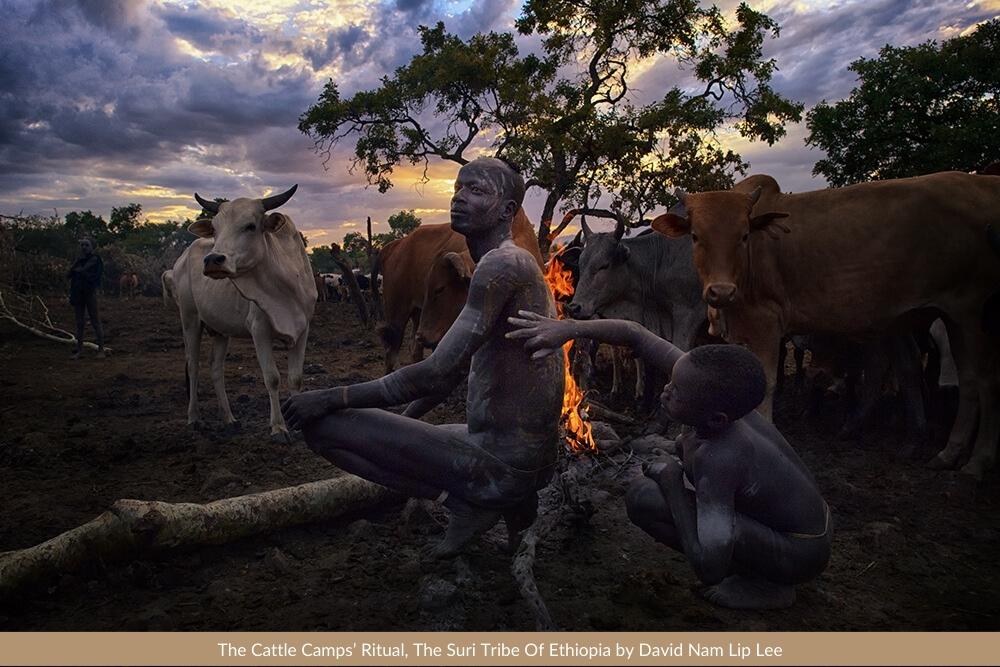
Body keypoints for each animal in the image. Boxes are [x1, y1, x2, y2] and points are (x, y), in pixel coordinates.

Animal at [165, 185, 316, 440]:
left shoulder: (302, 329)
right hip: (190, 319)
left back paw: (229, 418)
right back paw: (194, 418)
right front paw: (278, 427)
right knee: (193, 366)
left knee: (216, 368)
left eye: (250, 226)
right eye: (215, 228)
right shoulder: (259, 330)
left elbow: (295, 378)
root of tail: (182, 258)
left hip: (220, 330)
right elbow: (272, 378)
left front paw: (297, 422)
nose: (213, 260)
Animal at [652, 170, 996, 478]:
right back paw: (943, 451)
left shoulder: (767, 324)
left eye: (744, 235)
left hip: (970, 310)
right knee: (959, 377)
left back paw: (976, 461)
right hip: (948, 316)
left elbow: (766, 385)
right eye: (696, 236)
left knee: (983, 380)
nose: (721, 291)